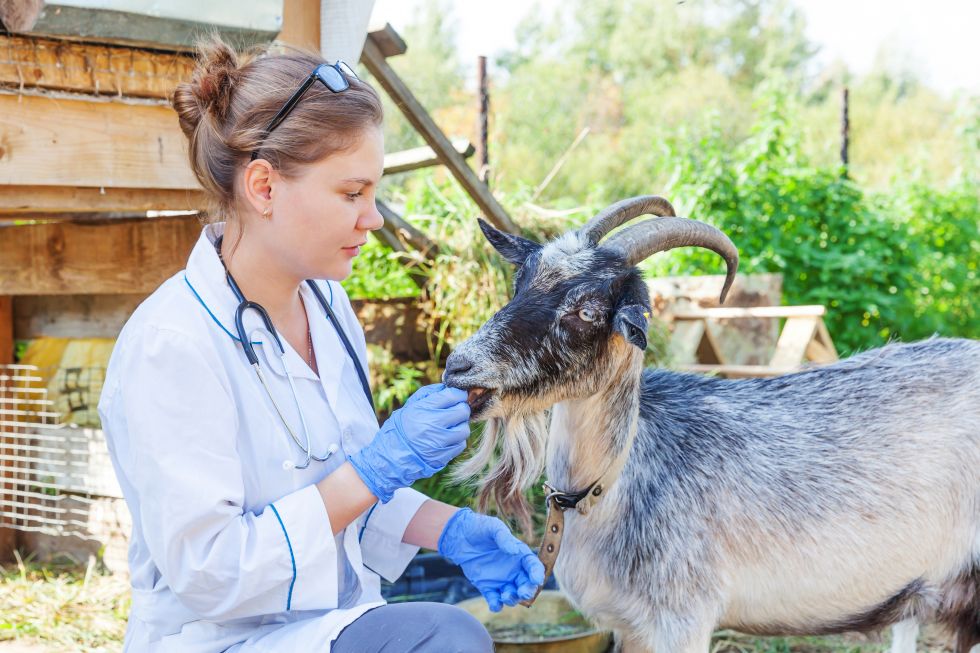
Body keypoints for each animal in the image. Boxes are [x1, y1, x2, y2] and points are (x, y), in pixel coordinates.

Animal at [446, 196, 980, 652]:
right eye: (520, 286)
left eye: (589, 310)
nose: (458, 366)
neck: (612, 485)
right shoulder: (631, 629)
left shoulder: (681, 621)